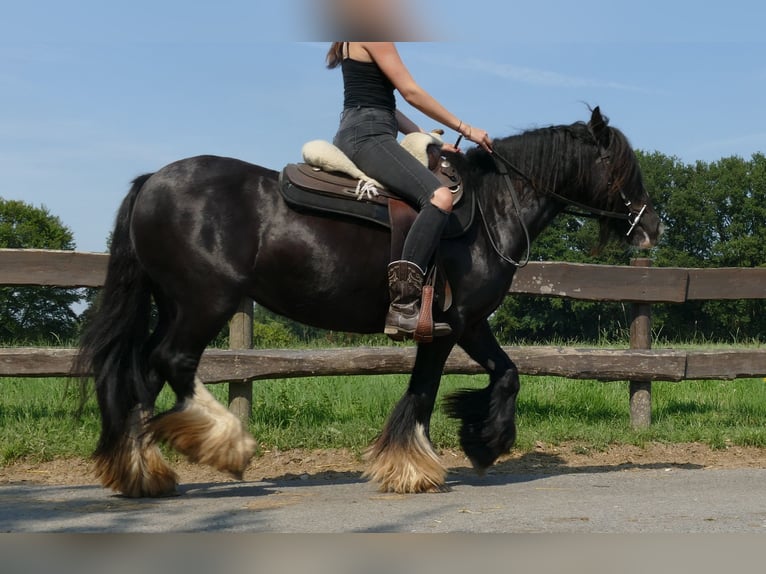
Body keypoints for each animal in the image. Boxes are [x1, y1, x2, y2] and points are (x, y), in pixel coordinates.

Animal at [79, 109, 664, 500]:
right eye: (619, 165)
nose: (652, 227)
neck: (489, 210)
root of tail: (152, 181)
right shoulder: (447, 327)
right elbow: (424, 392)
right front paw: (414, 467)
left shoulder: (471, 323)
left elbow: (508, 374)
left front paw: (483, 441)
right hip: (205, 302)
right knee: (171, 362)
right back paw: (224, 445)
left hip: (175, 304)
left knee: (142, 372)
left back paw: (142, 471)